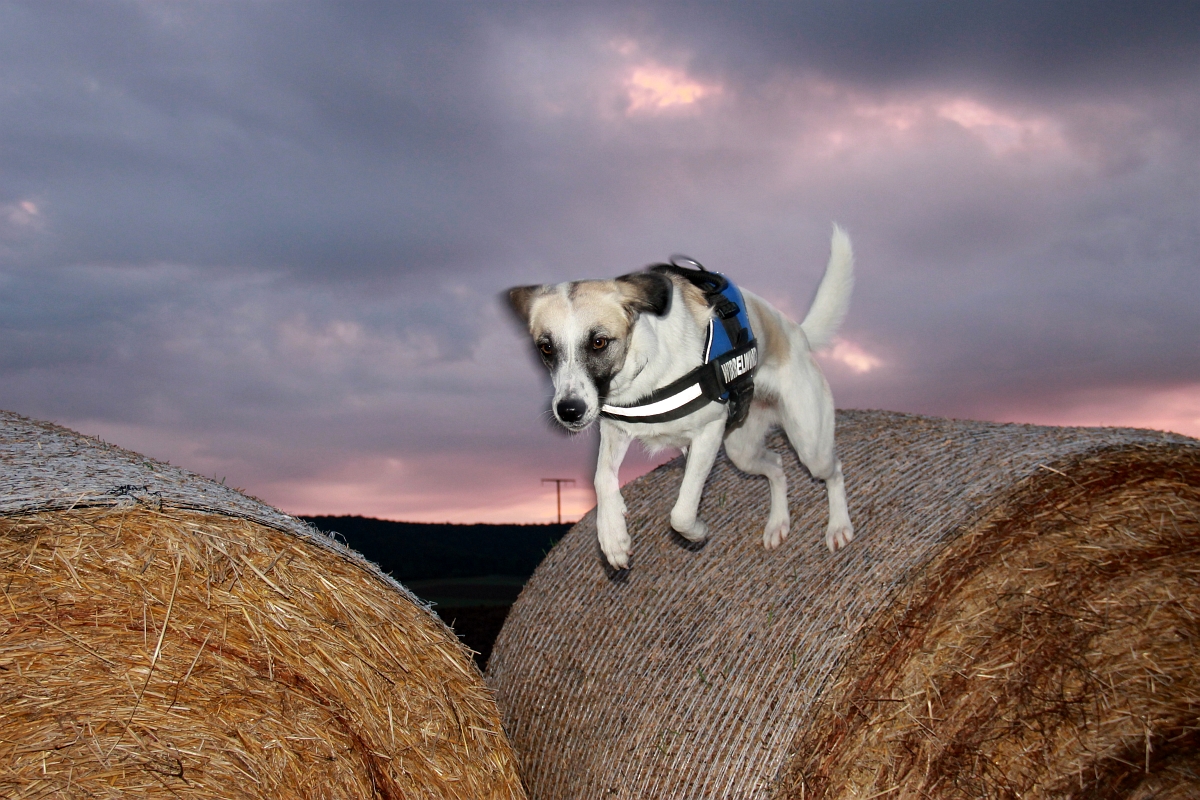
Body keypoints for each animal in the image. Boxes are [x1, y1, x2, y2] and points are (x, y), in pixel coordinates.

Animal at [506, 227, 854, 573]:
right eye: (546, 348)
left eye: (599, 342)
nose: (569, 411)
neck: (644, 369)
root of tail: (797, 332)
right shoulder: (614, 429)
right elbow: (601, 477)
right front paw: (612, 536)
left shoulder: (709, 433)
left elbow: (682, 512)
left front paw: (697, 532)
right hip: (742, 450)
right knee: (778, 467)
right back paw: (778, 523)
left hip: (809, 443)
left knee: (834, 469)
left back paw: (838, 526)